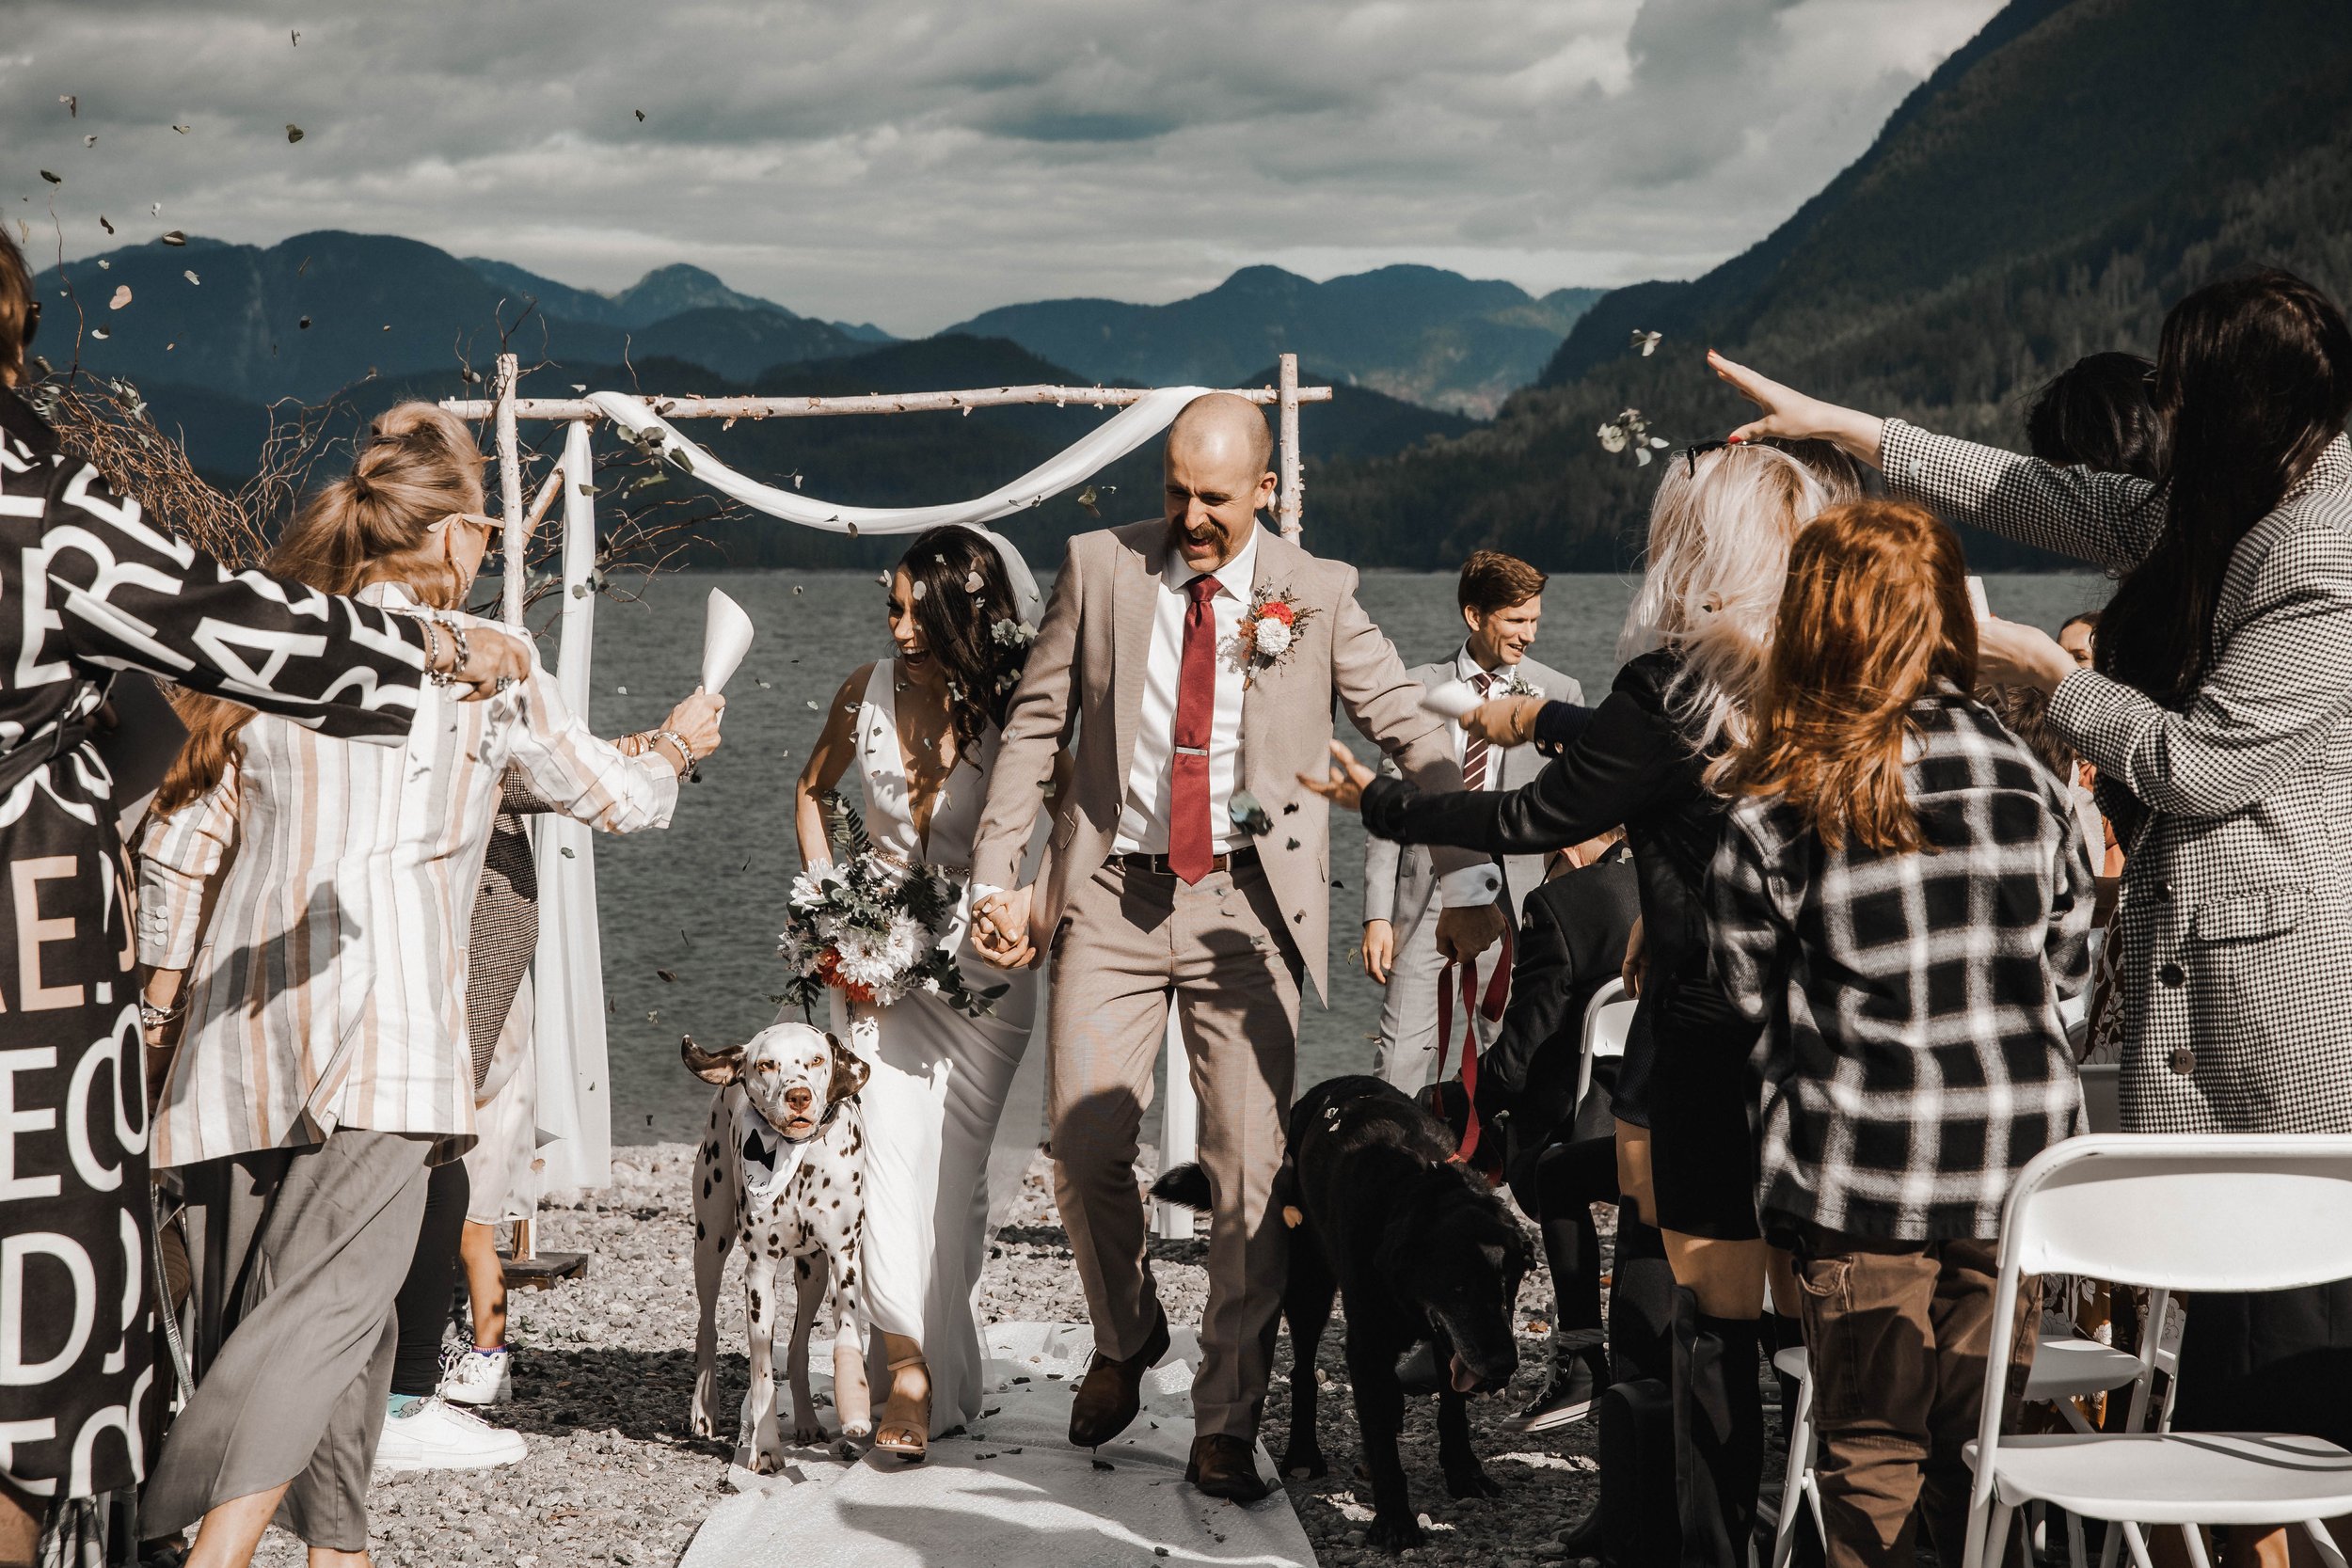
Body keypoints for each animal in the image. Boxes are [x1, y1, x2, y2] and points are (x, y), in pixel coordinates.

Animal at [684, 1021, 873, 1471]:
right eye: (766, 1065)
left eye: (817, 1060)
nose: (798, 1095)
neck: (800, 1162)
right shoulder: (759, 1274)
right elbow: (763, 1374)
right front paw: (766, 1447)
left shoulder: (844, 1260)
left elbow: (844, 1334)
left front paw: (855, 1407)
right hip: (710, 1243)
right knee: (707, 1326)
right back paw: (704, 1408)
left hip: (813, 1273)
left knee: (801, 1347)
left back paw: (807, 1420)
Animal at [1155, 1074, 1529, 1552]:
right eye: (1459, 1287)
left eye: (1509, 1287)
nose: (1503, 1367)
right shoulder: (1368, 1349)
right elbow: (1383, 1446)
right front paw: (1395, 1521)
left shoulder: (1450, 1340)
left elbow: (1452, 1407)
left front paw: (1464, 1470)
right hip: (1308, 1287)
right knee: (1302, 1373)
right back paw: (1302, 1453)